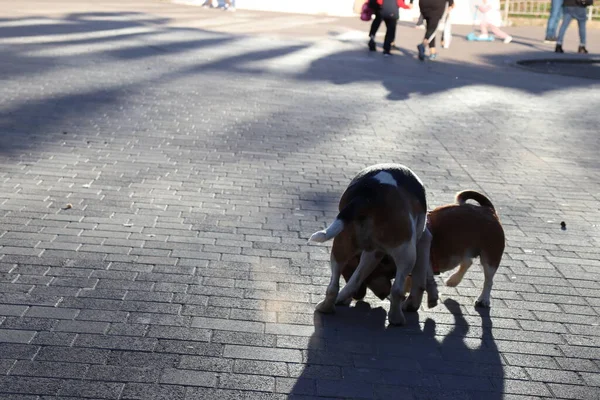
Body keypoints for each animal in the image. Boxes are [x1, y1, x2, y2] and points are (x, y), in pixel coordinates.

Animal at [340, 189, 504, 308]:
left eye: (368, 279)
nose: (357, 297)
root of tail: (488, 210)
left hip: (490, 258)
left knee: (488, 280)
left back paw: (483, 299)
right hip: (464, 250)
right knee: (467, 262)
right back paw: (453, 280)